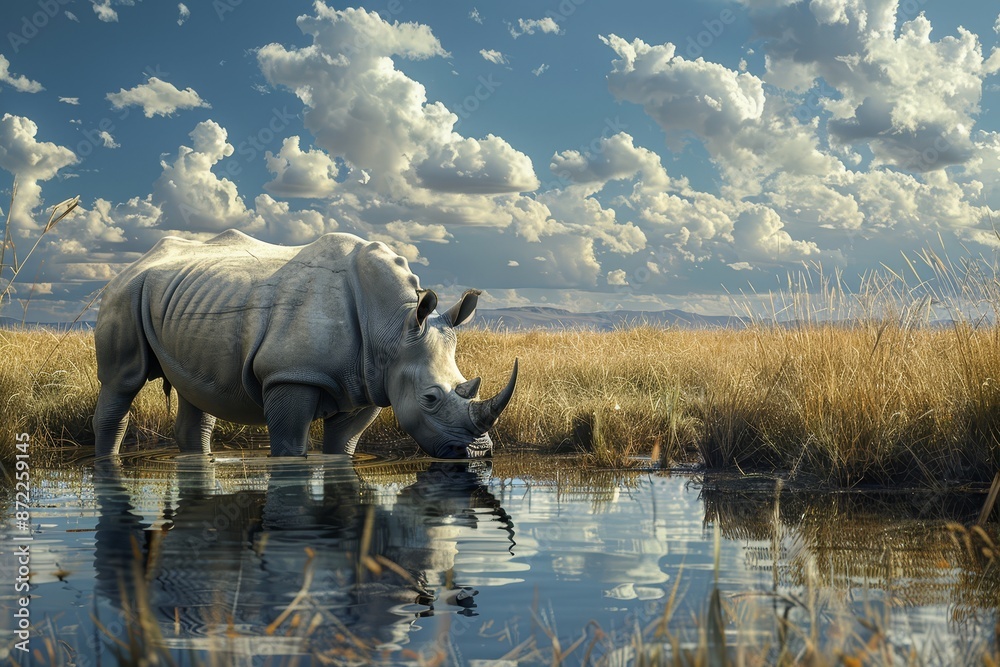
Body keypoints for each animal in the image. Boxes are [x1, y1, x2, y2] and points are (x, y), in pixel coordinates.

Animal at [93, 229, 517, 459]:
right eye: (430, 398)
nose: (479, 455)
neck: (393, 327)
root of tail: (132, 265)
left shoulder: (371, 381)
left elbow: (343, 446)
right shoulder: (291, 374)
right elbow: (290, 446)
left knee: (197, 393)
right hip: (123, 293)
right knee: (122, 382)